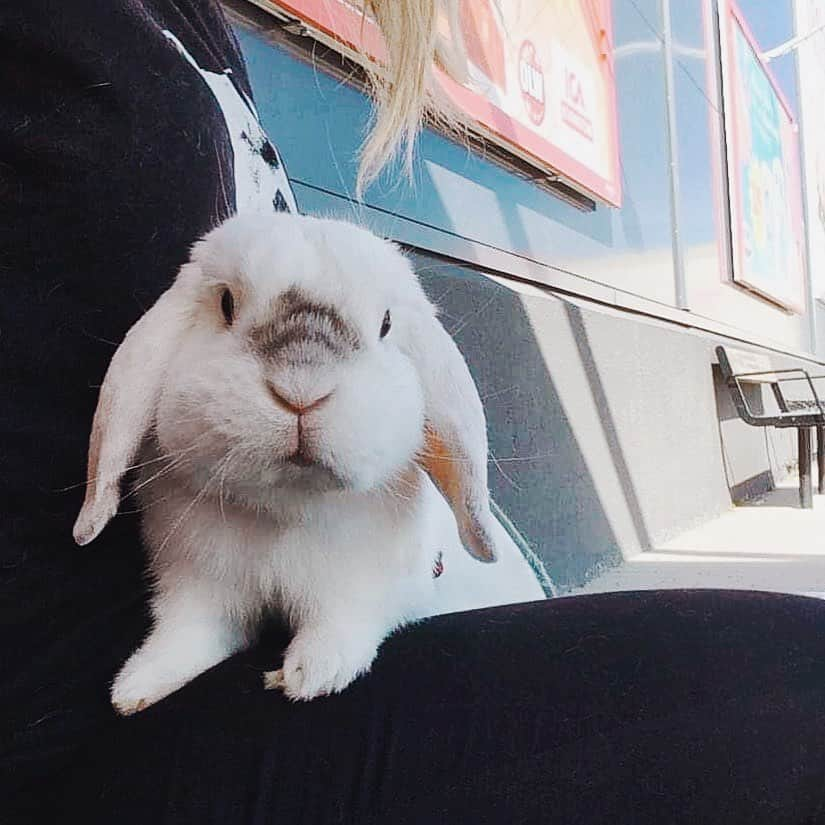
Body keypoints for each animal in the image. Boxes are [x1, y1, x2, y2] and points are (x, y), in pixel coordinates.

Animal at [74, 214, 540, 716]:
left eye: (386, 323)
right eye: (226, 303)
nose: (302, 390)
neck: (285, 511)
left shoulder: (363, 588)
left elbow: (341, 628)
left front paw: (310, 675)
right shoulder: (198, 586)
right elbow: (188, 633)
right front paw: (136, 686)